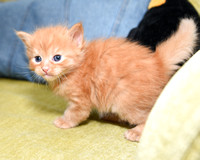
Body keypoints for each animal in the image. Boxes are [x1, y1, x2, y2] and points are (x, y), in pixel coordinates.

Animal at [16, 18, 197, 142]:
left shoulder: (80, 99)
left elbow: (75, 113)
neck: (77, 67)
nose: (45, 69)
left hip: (126, 102)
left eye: (57, 57)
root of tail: (158, 61)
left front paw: (64, 121)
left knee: (149, 116)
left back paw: (135, 132)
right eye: (37, 59)